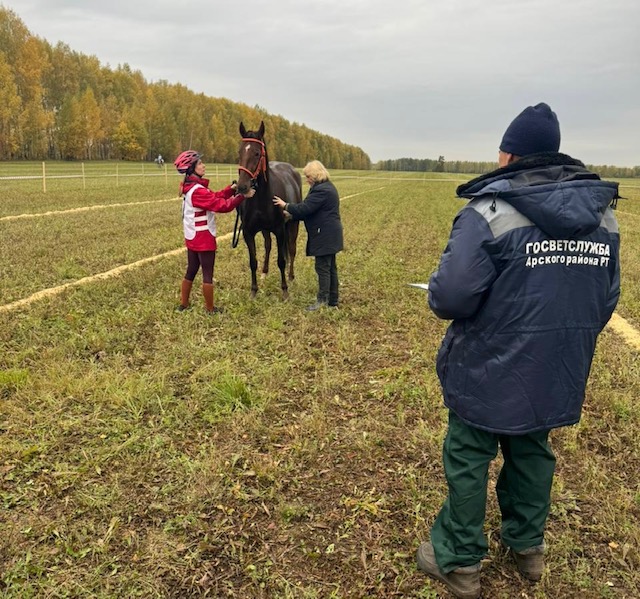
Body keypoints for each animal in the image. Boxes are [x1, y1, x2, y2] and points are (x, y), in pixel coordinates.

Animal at [236, 122, 304, 300]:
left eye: (257, 153)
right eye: (239, 151)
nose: (242, 187)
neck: (262, 198)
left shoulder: (280, 230)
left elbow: (281, 260)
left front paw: (285, 290)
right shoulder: (248, 232)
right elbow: (253, 261)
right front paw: (253, 291)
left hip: (293, 225)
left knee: (292, 249)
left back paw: (291, 276)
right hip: (266, 230)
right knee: (268, 245)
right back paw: (265, 273)